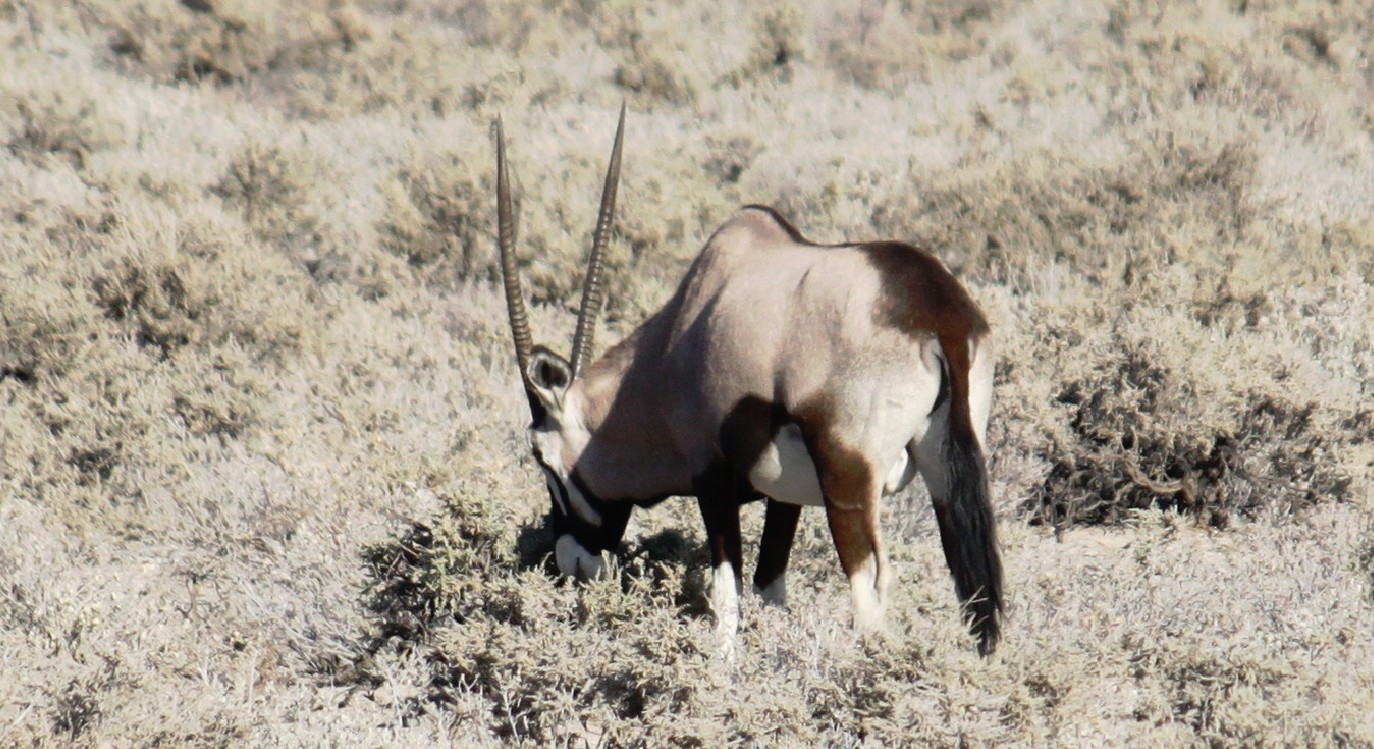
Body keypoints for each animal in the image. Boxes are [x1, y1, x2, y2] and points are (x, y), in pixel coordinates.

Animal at [491, 106, 1000, 654]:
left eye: (540, 456)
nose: (572, 564)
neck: (669, 351)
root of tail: (937, 313)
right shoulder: (786, 498)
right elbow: (768, 588)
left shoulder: (711, 478)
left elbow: (727, 597)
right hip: (948, 469)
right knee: (977, 594)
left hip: (848, 478)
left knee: (871, 588)